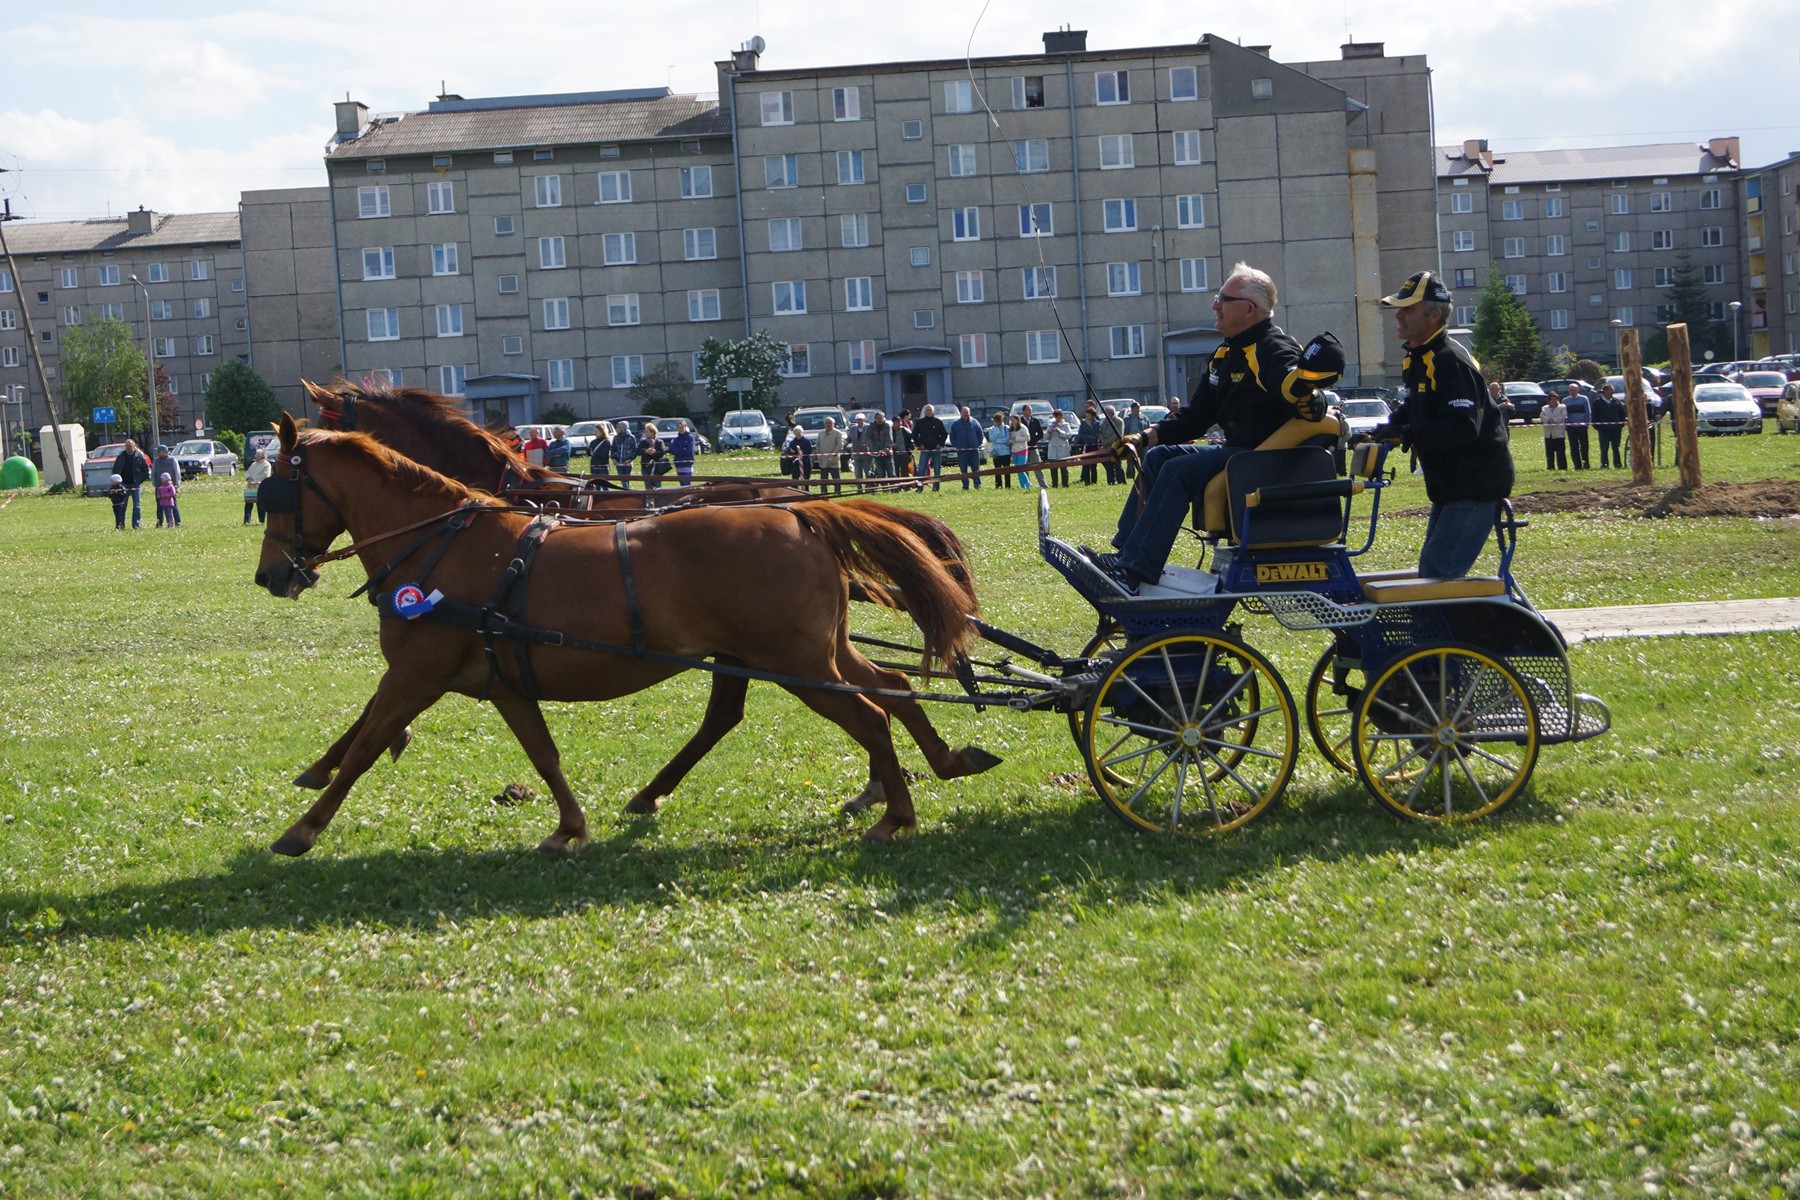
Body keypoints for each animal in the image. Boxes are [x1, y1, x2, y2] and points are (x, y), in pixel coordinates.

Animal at [250, 413, 1000, 852]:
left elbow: (366, 742)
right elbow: (542, 754)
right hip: (817, 651)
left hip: (795, 661)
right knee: (891, 686)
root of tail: (801, 514)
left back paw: (895, 814)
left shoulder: (416, 671)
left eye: (276, 491)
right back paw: (938, 765)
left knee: (870, 714)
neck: (443, 544)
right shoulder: (502, 681)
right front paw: (569, 827)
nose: (270, 576)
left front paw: (304, 826)